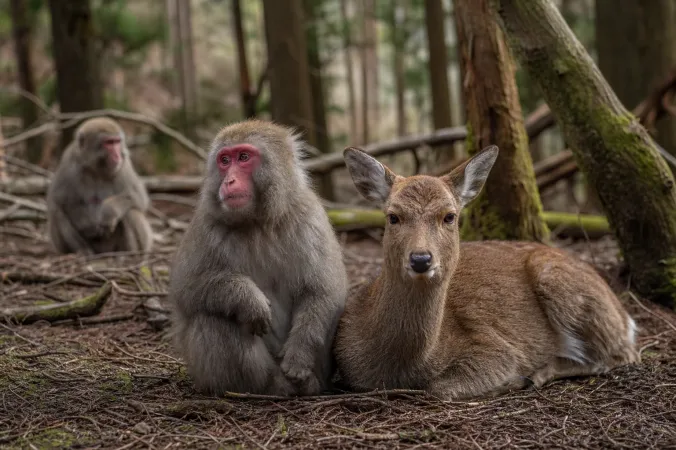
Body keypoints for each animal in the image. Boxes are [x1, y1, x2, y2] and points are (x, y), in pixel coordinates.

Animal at [46, 117, 153, 255]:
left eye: (117, 142)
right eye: (109, 143)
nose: (117, 155)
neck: (96, 168)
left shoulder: (124, 165)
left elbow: (137, 197)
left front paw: (109, 211)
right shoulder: (69, 164)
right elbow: (59, 200)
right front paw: (84, 223)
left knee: (130, 211)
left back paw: (128, 252)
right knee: (57, 212)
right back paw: (83, 251)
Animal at [167, 119, 348, 397]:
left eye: (243, 157)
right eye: (224, 160)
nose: (229, 181)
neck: (258, 222)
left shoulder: (310, 217)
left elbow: (324, 290)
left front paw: (298, 357)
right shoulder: (206, 224)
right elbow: (186, 289)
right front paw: (249, 300)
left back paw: (307, 384)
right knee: (213, 318)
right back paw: (270, 387)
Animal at [333, 145, 640, 401]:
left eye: (449, 216)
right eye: (393, 217)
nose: (421, 259)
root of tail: (625, 315)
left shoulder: (494, 347)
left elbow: (440, 388)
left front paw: (512, 380)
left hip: (561, 283)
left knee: (622, 354)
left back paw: (538, 374)